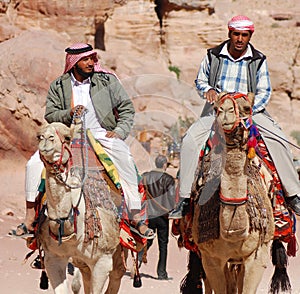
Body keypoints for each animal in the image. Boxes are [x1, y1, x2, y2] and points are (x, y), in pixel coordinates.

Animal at [36, 120, 125, 292]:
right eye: (39, 136)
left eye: (67, 137)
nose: (46, 139)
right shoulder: (53, 257)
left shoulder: (102, 260)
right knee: (85, 273)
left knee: (118, 272)